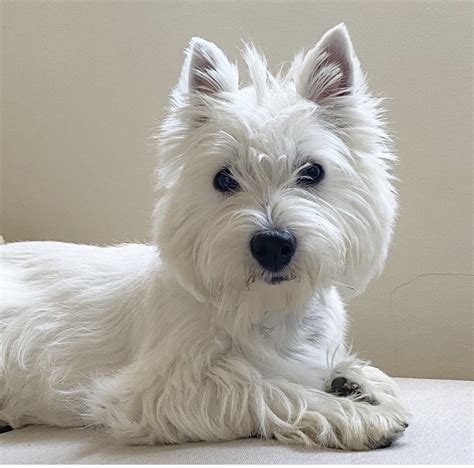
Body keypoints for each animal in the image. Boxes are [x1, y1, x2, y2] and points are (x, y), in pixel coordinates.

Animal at [0, 24, 410, 450]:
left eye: (312, 171)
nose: (272, 244)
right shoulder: (159, 392)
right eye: (224, 178)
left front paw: (358, 383)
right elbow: (267, 387)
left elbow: (348, 369)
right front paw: (361, 415)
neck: (271, 307)